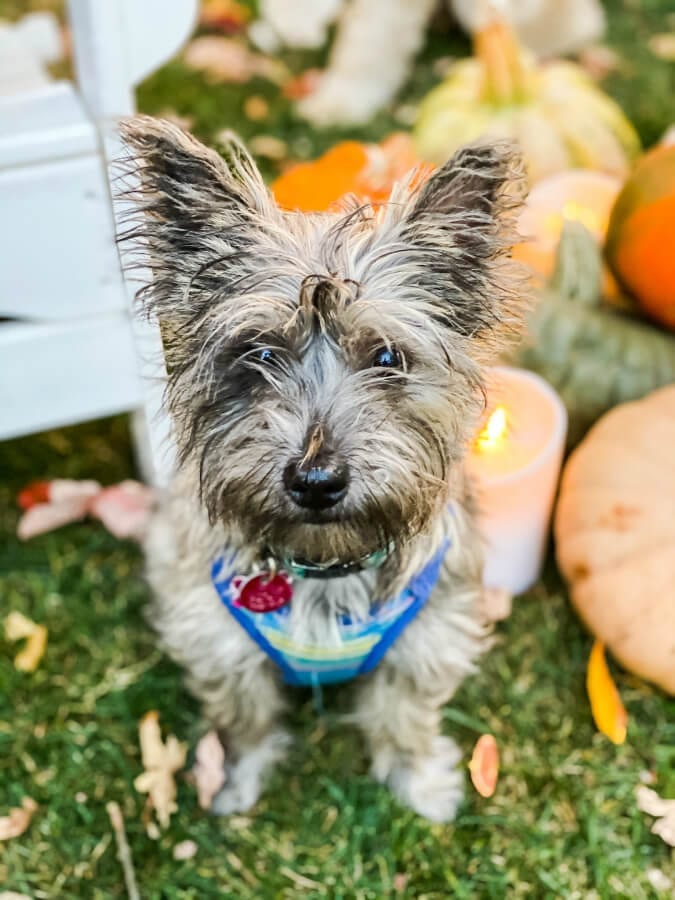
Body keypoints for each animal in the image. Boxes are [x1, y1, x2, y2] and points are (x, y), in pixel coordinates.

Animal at [117, 118, 528, 824]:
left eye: (388, 357)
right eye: (258, 355)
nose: (316, 482)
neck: (326, 564)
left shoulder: (430, 635)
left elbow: (403, 715)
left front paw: (422, 784)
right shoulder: (216, 637)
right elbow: (245, 718)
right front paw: (235, 781)